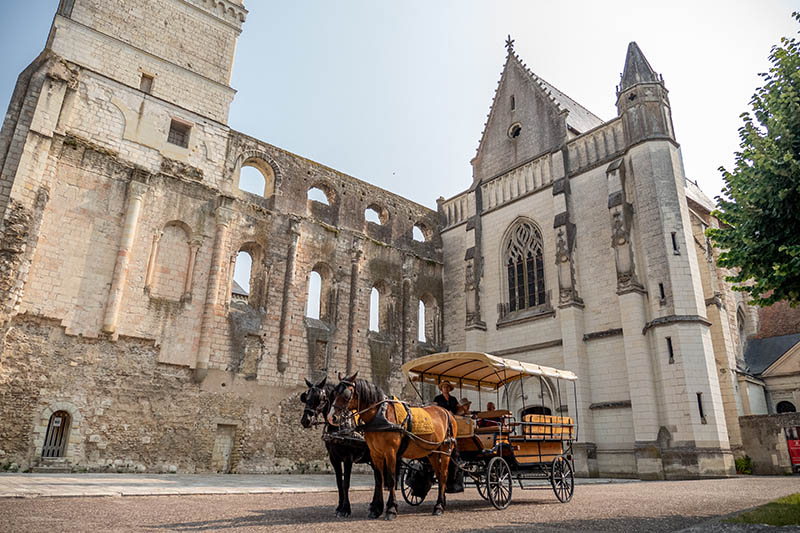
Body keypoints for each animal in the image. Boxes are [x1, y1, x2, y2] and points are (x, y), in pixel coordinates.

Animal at [300, 374, 378, 516]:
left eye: (320, 398)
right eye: (306, 397)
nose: (305, 420)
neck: (340, 426)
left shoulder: (348, 458)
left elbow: (346, 483)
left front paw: (346, 509)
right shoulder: (334, 458)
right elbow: (338, 483)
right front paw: (339, 506)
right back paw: (374, 505)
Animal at [328, 372, 460, 516]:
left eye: (346, 395)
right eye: (334, 393)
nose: (331, 417)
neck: (380, 415)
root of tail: (447, 412)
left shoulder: (390, 452)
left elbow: (391, 479)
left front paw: (391, 509)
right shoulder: (375, 453)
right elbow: (379, 479)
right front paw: (376, 509)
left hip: (446, 449)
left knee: (444, 475)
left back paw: (439, 506)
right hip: (433, 452)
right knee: (439, 474)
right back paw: (441, 503)